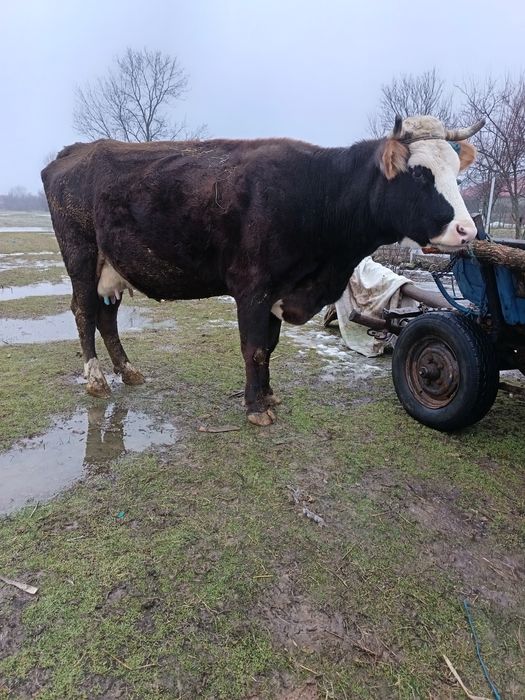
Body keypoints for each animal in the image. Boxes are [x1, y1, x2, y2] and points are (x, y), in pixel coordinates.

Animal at [41, 115, 484, 426]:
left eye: (455, 171)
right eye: (420, 174)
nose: (467, 230)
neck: (318, 193)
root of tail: (72, 153)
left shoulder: (278, 290)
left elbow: (268, 347)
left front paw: (268, 395)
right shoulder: (252, 287)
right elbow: (253, 348)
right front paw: (256, 408)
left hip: (113, 267)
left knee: (106, 316)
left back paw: (128, 371)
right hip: (81, 257)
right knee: (83, 311)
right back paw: (96, 379)